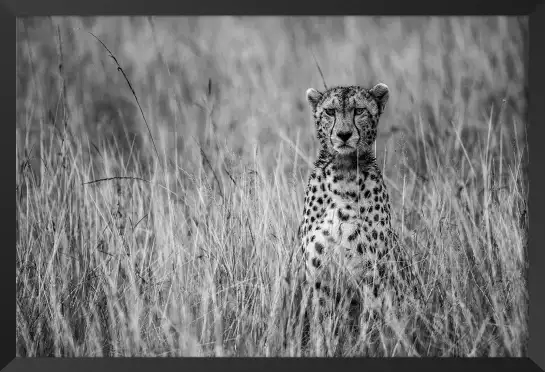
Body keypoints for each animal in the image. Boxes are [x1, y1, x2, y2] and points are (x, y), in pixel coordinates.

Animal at [298, 83, 408, 354]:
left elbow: (368, 324)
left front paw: (363, 347)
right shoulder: (320, 276)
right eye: (330, 111)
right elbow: (324, 324)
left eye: (359, 110)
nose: (344, 134)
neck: (344, 170)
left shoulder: (373, 274)